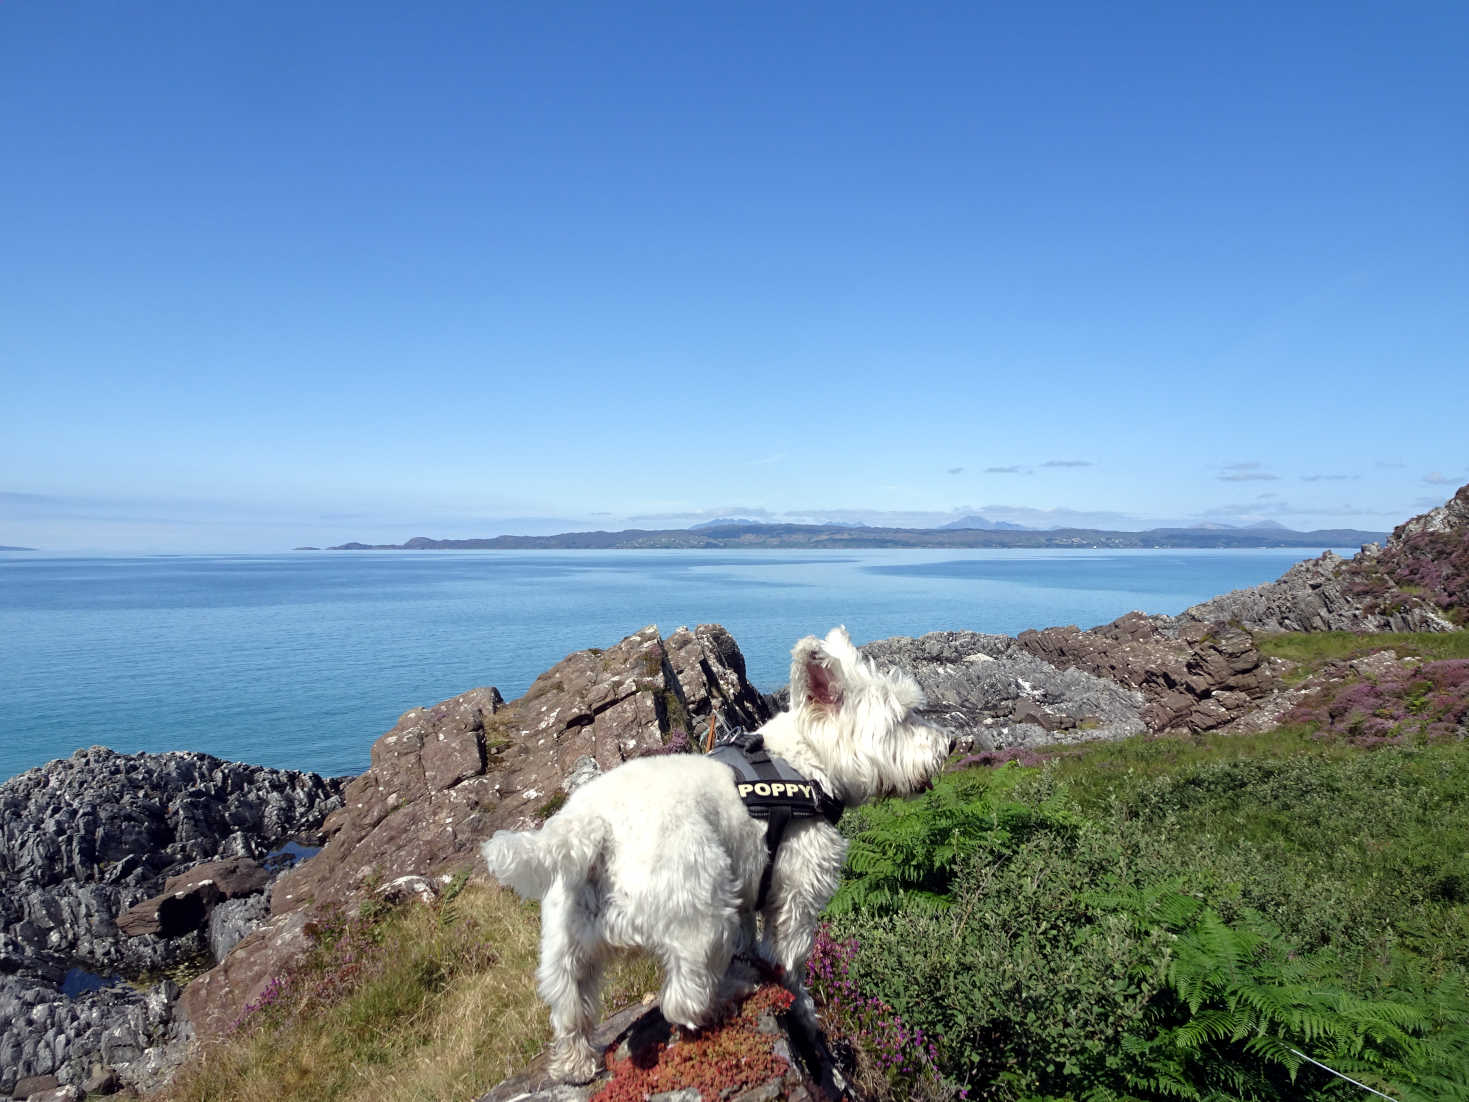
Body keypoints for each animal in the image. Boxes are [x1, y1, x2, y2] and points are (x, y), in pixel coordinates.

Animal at [475, 625, 946, 1081]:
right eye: (901, 719)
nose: (951, 745)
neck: (805, 765)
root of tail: (592, 825)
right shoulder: (795, 894)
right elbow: (789, 960)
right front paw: (802, 1008)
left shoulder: (750, 886)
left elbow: (749, 938)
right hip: (701, 913)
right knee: (681, 1000)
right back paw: (727, 997)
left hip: (567, 944)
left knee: (571, 1010)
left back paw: (576, 1065)